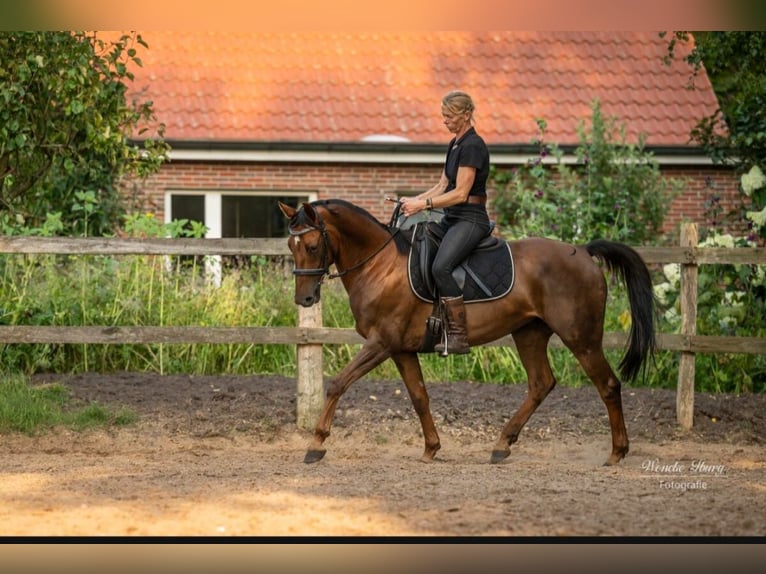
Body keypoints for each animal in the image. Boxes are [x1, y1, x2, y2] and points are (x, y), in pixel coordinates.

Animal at [278, 199, 656, 465]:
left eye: (312, 246)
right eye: (290, 246)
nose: (304, 299)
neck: (380, 265)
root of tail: (585, 253)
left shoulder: (380, 343)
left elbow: (338, 383)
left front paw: (316, 444)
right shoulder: (401, 349)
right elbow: (419, 397)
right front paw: (431, 448)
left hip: (581, 337)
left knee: (607, 385)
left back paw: (617, 452)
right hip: (529, 333)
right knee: (540, 384)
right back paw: (502, 445)